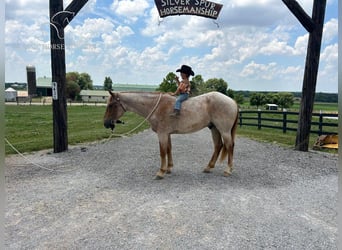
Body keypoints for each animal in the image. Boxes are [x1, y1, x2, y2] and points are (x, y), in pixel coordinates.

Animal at [103, 91, 239, 179]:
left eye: (111, 105)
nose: (106, 123)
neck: (155, 106)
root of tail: (232, 101)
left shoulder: (162, 134)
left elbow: (162, 151)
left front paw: (161, 172)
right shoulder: (167, 134)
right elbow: (169, 149)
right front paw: (169, 168)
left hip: (224, 131)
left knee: (229, 146)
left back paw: (228, 170)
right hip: (214, 129)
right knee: (218, 146)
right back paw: (208, 167)